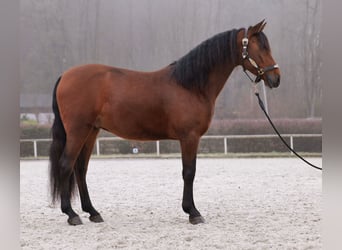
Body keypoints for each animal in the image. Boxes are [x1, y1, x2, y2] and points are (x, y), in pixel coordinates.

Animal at [48, 20, 280, 226]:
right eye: (259, 47)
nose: (276, 78)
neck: (191, 85)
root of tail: (65, 76)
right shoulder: (189, 137)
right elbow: (189, 172)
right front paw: (193, 212)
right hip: (78, 131)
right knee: (66, 165)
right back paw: (71, 214)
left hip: (91, 131)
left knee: (80, 169)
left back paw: (92, 212)